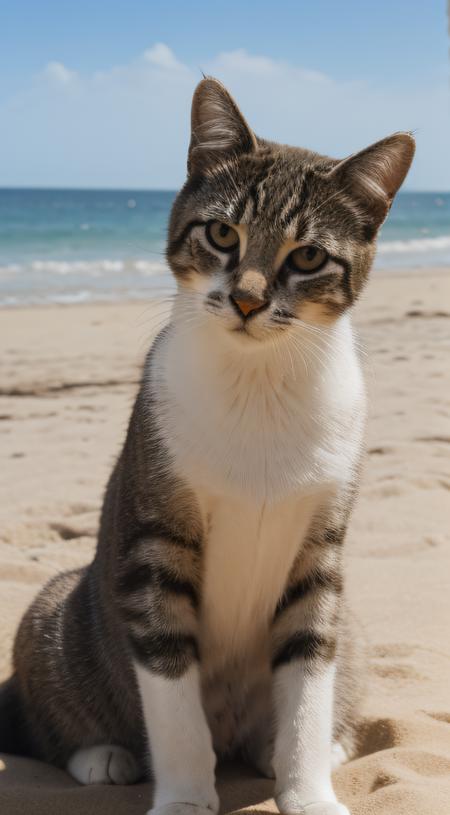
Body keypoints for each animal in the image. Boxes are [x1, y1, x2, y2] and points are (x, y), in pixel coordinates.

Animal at [0, 78, 414, 815]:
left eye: (308, 256)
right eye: (222, 233)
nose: (247, 300)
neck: (259, 380)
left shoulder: (321, 554)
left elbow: (309, 674)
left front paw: (309, 789)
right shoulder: (154, 543)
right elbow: (171, 693)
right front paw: (187, 797)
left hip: (357, 630)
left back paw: (318, 750)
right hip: (57, 608)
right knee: (48, 710)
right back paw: (101, 755)